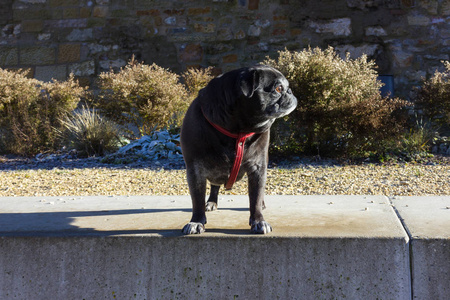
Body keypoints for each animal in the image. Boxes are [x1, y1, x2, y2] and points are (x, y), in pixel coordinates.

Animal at [181, 65, 298, 234]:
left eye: (285, 88)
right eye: (278, 88)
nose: (290, 91)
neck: (238, 131)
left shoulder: (258, 168)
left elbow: (255, 197)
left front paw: (258, 220)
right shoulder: (195, 171)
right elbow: (197, 200)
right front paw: (196, 221)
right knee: (214, 186)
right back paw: (211, 202)